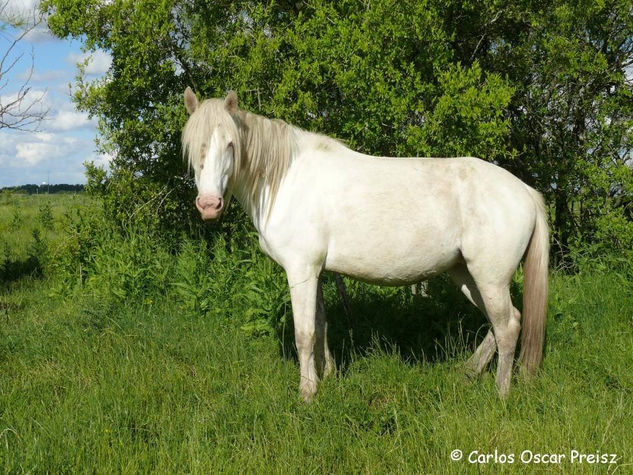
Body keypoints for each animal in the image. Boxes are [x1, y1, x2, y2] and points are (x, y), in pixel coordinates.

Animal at [183, 89, 548, 402]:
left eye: (230, 144)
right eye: (191, 146)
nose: (209, 205)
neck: (285, 179)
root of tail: (526, 192)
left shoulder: (300, 270)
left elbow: (304, 333)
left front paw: (307, 393)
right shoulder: (316, 271)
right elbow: (320, 326)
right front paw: (327, 375)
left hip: (489, 277)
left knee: (507, 327)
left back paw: (501, 393)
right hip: (467, 275)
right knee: (504, 322)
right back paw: (469, 372)